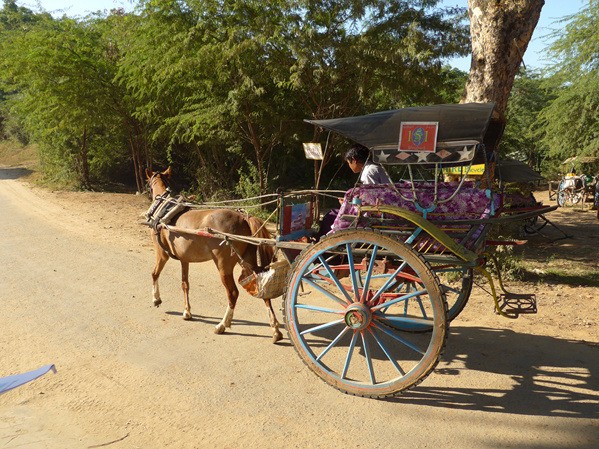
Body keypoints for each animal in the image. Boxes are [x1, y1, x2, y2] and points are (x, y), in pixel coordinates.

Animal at [147, 166, 284, 342]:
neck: (166, 209)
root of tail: (243, 218)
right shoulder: (184, 259)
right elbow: (185, 284)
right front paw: (187, 312)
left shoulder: (161, 253)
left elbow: (154, 273)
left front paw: (156, 299)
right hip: (249, 261)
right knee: (264, 291)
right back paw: (275, 330)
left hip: (223, 266)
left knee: (233, 293)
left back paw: (222, 325)